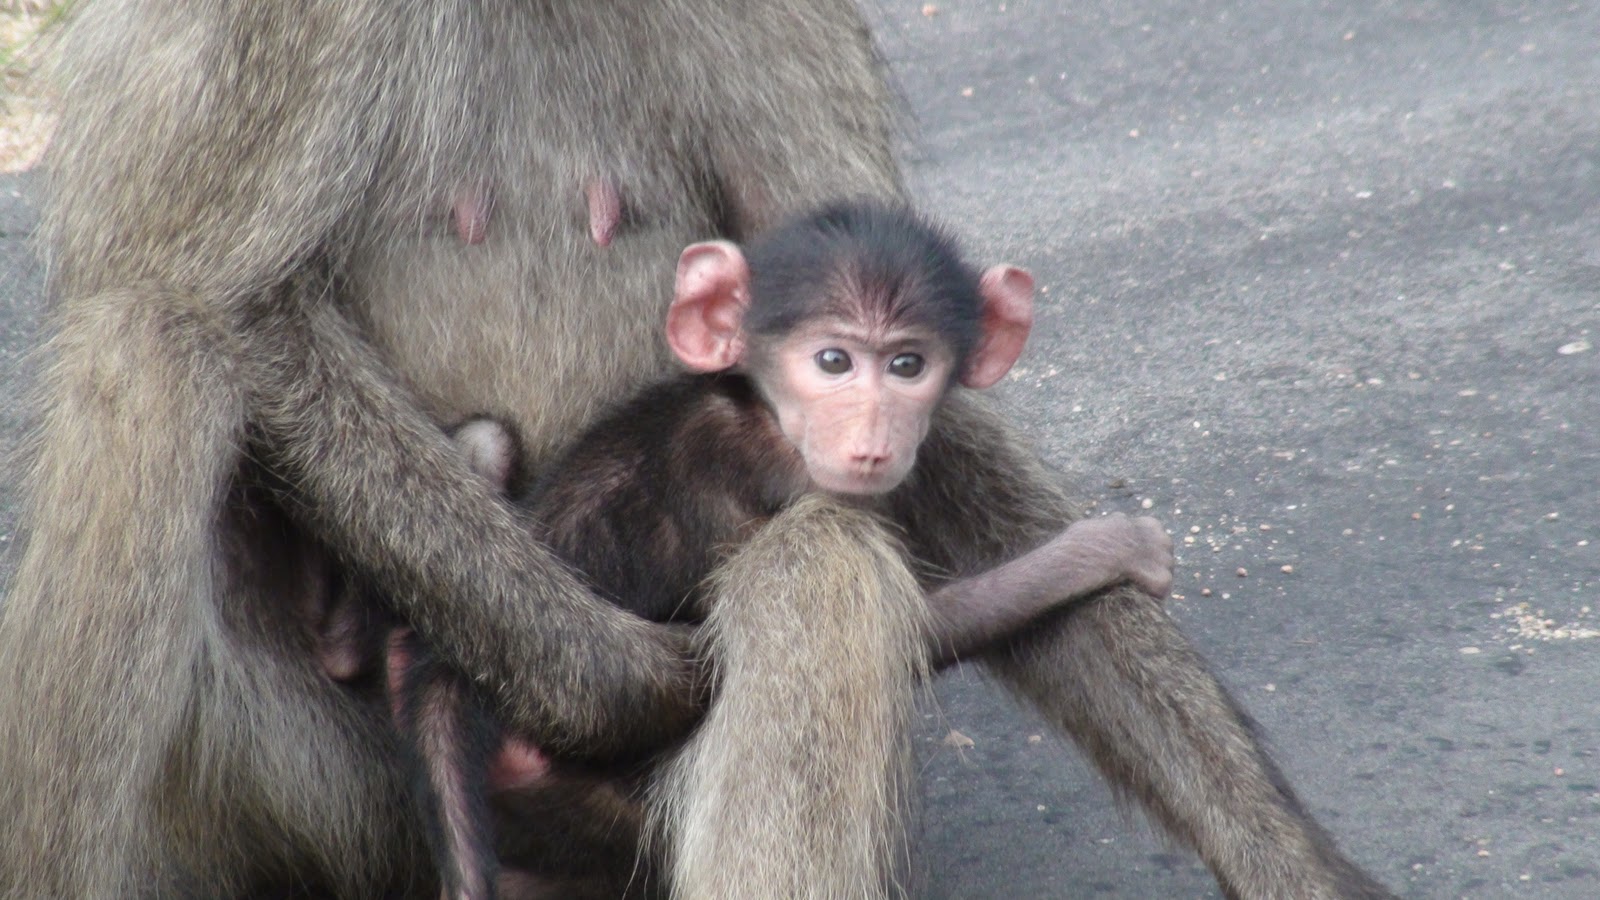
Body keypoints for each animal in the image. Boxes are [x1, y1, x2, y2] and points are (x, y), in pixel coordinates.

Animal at [371, 203, 1175, 898]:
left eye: (907, 366)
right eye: (832, 361)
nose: (872, 435)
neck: (762, 411)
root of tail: (451, 676)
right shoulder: (778, 479)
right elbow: (919, 620)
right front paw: (1108, 547)